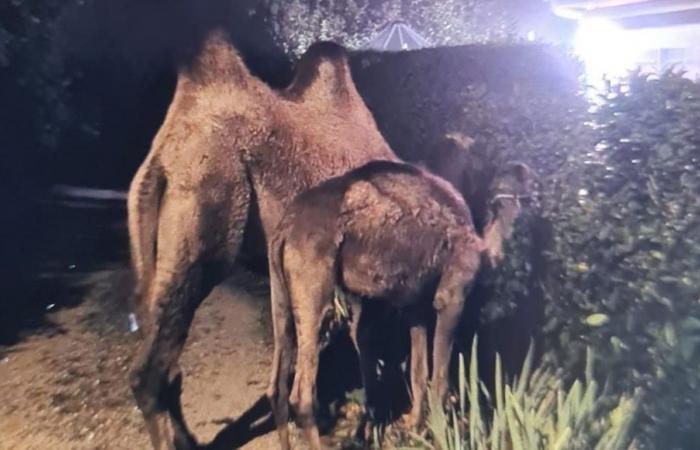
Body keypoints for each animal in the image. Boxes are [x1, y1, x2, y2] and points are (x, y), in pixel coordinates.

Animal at [126, 29, 400, 450]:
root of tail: (163, 160)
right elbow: (364, 339)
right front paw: (370, 423)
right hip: (207, 222)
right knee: (149, 375)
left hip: (149, 246)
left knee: (165, 357)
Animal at [266, 160, 532, 448]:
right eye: (510, 191)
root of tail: (286, 227)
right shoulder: (452, 294)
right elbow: (439, 379)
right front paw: (436, 436)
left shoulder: (415, 306)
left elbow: (418, 372)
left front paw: (413, 429)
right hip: (312, 281)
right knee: (301, 393)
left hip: (281, 290)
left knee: (277, 383)